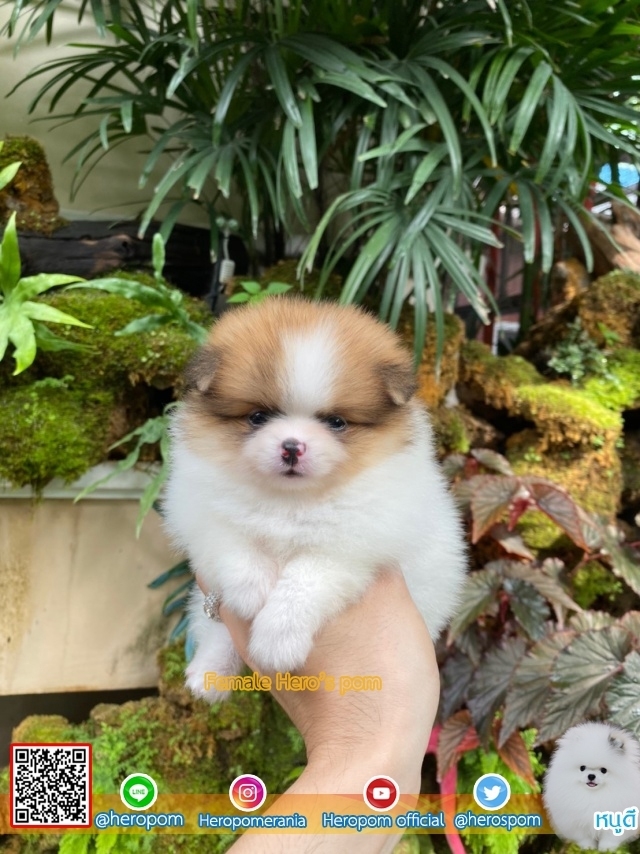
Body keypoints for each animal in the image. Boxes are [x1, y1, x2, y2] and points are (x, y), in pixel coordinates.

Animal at [163, 296, 467, 702]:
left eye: (336, 422)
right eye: (258, 417)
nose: (292, 447)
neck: (292, 500)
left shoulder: (350, 547)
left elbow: (306, 579)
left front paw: (278, 638)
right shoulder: (198, 509)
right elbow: (232, 543)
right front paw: (251, 590)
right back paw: (211, 672)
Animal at [543, 721, 640, 850]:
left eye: (603, 770)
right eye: (582, 768)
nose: (591, 776)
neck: (593, 795)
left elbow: (610, 838)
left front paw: (606, 849)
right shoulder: (576, 823)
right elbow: (584, 838)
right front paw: (589, 848)